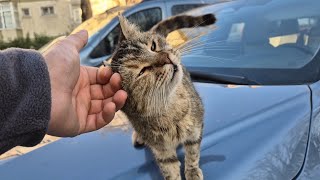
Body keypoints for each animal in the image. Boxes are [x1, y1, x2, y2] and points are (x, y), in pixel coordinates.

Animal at [109, 13, 216, 179]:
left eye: (153, 46)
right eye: (142, 71)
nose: (167, 57)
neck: (169, 109)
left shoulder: (195, 129)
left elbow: (192, 152)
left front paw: (192, 170)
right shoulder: (162, 151)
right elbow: (170, 170)